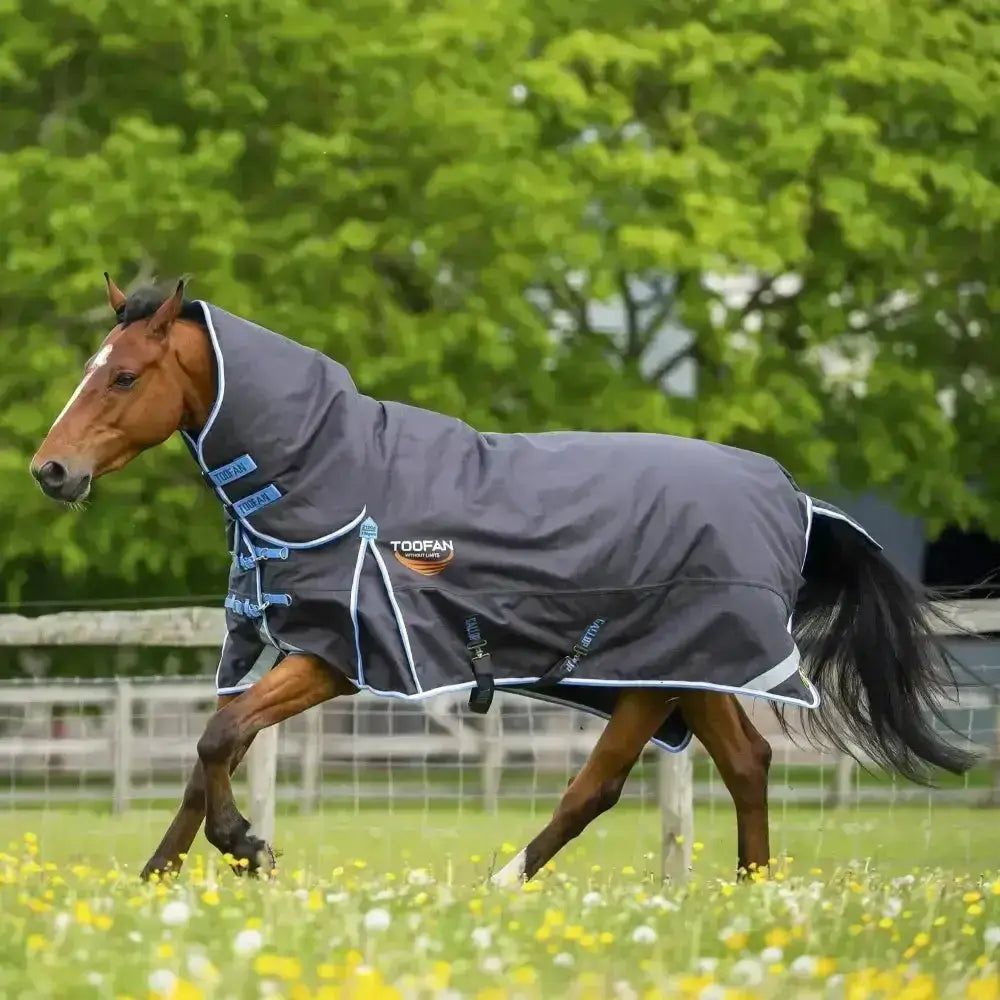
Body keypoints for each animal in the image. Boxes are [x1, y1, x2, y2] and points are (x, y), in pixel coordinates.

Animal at [29, 275, 975, 883]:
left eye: (124, 374)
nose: (51, 471)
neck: (329, 473)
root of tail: (796, 498)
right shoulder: (282, 644)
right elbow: (208, 752)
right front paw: (158, 876)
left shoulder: (336, 656)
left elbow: (218, 739)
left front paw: (244, 846)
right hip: (679, 670)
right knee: (729, 766)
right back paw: (749, 893)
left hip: (664, 669)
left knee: (613, 783)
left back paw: (504, 888)